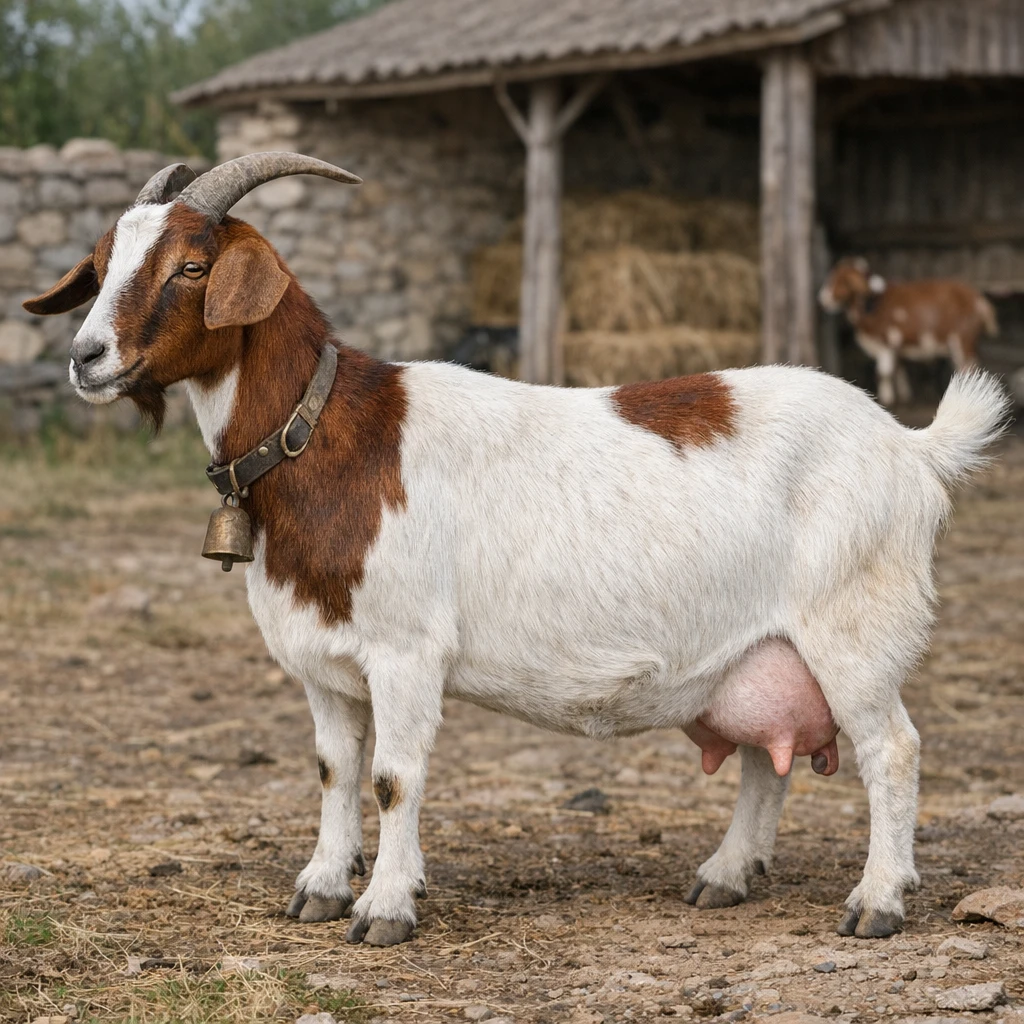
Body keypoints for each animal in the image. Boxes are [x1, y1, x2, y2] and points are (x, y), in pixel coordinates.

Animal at [819, 257, 999, 406]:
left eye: (842, 281)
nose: (822, 299)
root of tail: (978, 298)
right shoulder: (896, 345)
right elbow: (898, 369)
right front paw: (904, 395)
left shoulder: (886, 343)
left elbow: (883, 373)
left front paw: (886, 399)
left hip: (963, 339)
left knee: (967, 366)